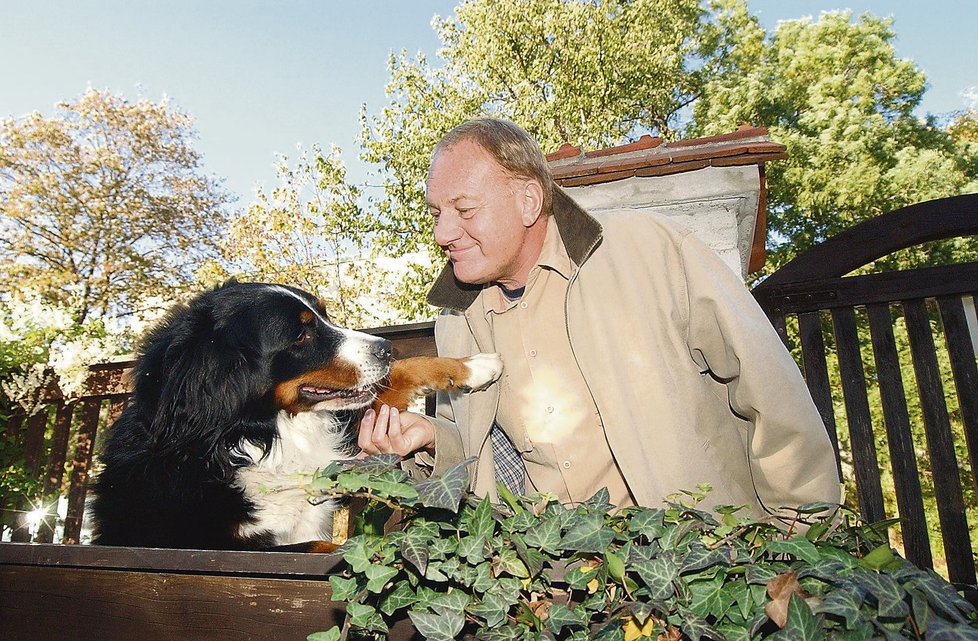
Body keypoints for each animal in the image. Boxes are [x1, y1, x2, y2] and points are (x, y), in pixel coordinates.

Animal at [86, 280, 500, 552]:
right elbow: (327, 548)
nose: (386, 348)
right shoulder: (226, 547)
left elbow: (406, 370)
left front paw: (476, 366)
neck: (255, 435)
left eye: (323, 315)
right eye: (301, 335)